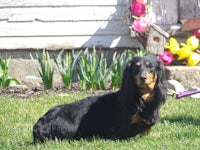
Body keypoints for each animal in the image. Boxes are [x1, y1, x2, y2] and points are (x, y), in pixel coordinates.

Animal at [32, 55, 167, 143]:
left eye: (151, 67)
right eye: (136, 67)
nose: (143, 78)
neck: (141, 98)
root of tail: (40, 123)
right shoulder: (119, 132)